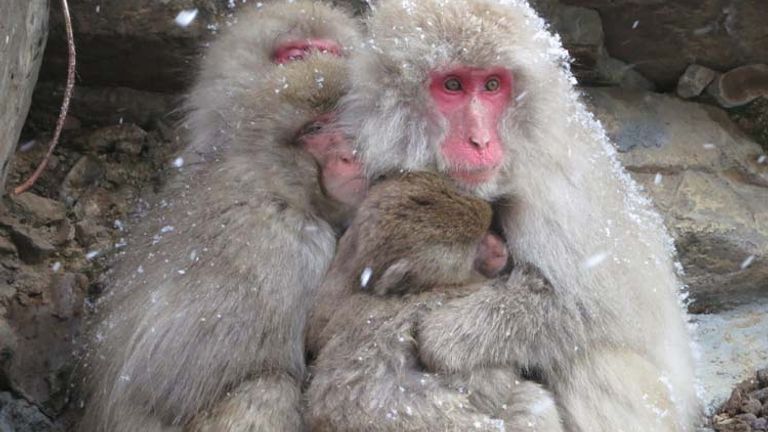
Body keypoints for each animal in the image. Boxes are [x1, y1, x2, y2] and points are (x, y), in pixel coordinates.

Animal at [77, 2, 364, 431]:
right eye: (316, 129)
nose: (351, 155)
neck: (276, 184)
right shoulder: (283, 248)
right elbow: (177, 377)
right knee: (268, 391)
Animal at [305, 171, 564, 432]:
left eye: (488, 230)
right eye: (476, 249)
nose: (499, 248)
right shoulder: (444, 295)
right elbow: (486, 380)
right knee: (530, 403)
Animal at [339, 1, 700, 431]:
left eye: (493, 85)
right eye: (453, 85)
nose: (480, 141)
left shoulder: (551, 190)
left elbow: (603, 307)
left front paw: (445, 336)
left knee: (589, 360)